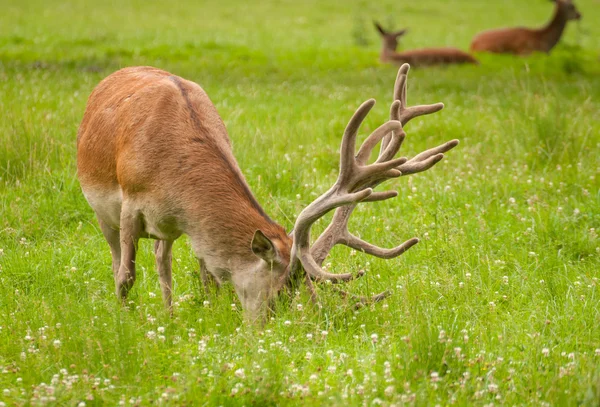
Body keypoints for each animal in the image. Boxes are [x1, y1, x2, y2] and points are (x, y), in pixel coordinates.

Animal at [76, 63, 460, 322]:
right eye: (277, 296)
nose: (270, 330)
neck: (169, 175)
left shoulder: (189, 228)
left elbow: (209, 280)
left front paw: (209, 313)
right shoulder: (129, 204)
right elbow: (126, 277)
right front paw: (125, 321)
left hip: (163, 232)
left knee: (162, 257)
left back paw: (170, 315)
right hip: (101, 209)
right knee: (120, 258)